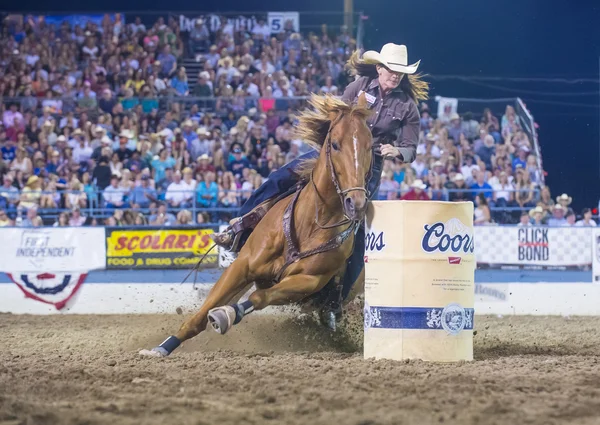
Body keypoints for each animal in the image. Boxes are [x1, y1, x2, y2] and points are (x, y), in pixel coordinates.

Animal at [141, 94, 372, 356]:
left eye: (369, 147)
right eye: (334, 144)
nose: (356, 202)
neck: (312, 223)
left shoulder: (306, 282)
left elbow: (260, 297)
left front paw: (226, 315)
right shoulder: (243, 266)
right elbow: (199, 316)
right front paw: (161, 349)